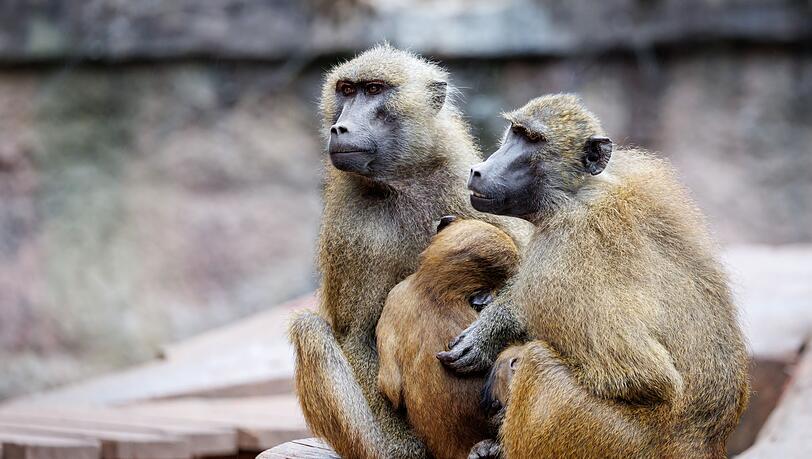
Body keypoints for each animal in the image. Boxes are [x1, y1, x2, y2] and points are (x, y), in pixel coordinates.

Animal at [436, 94, 750, 458]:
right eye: (515, 132)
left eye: (533, 140)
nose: (478, 170)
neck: (575, 194)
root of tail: (704, 444)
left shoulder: (560, 257)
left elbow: (646, 376)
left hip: (616, 437)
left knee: (538, 364)